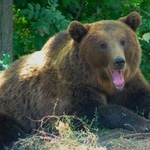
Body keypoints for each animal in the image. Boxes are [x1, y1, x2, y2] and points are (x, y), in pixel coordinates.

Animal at [0, 11, 150, 148]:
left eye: (123, 41)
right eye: (102, 44)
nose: (119, 61)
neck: (103, 83)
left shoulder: (130, 84)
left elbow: (142, 97)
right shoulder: (71, 87)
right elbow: (87, 112)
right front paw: (143, 123)